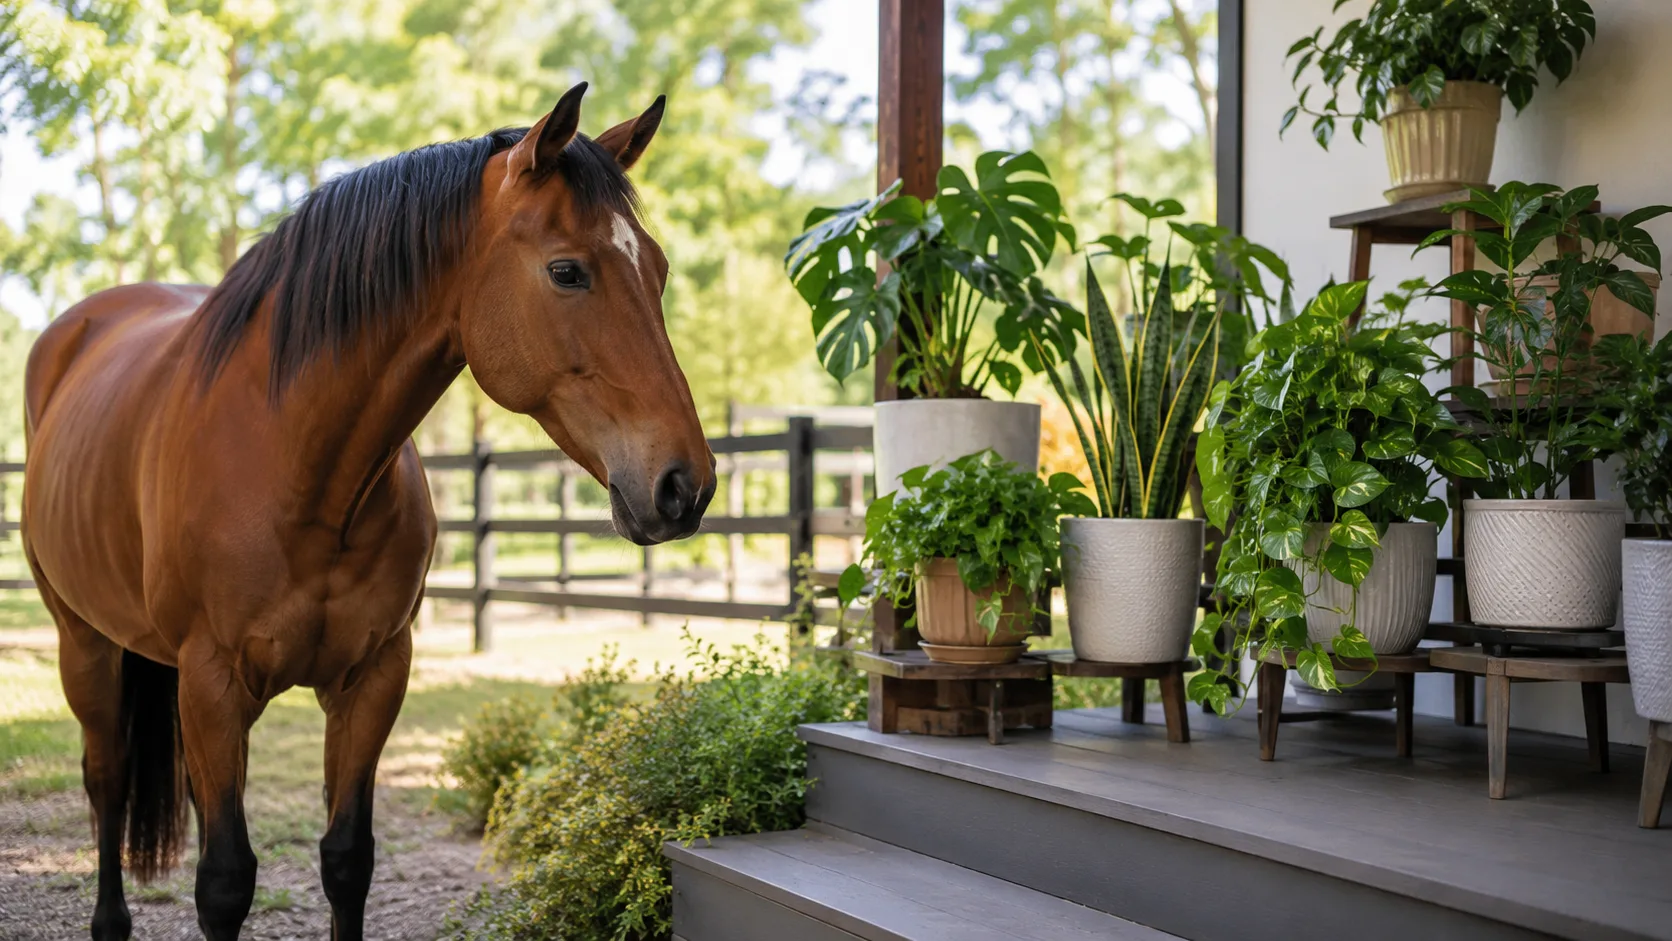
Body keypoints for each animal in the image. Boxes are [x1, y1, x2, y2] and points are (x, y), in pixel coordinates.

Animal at [20, 82, 714, 941]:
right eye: (567, 271)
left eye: (657, 269)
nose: (685, 484)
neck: (298, 466)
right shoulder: (212, 684)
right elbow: (224, 880)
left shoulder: (375, 675)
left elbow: (347, 858)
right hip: (83, 643)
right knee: (107, 778)